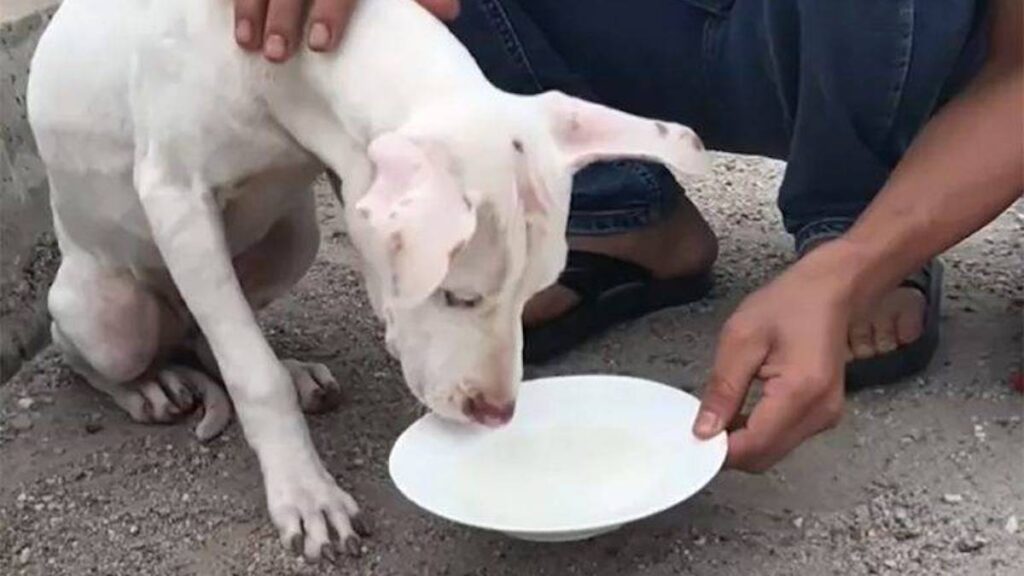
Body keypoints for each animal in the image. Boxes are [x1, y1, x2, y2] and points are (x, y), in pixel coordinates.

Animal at [28, 0, 708, 557]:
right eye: (457, 296)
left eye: (532, 294)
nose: (497, 414)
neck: (285, 72)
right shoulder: (176, 199)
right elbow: (252, 374)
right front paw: (307, 495)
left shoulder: (341, 166)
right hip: (108, 313)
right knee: (100, 350)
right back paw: (151, 386)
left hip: (293, 238)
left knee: (206, 330)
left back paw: (291, 370)